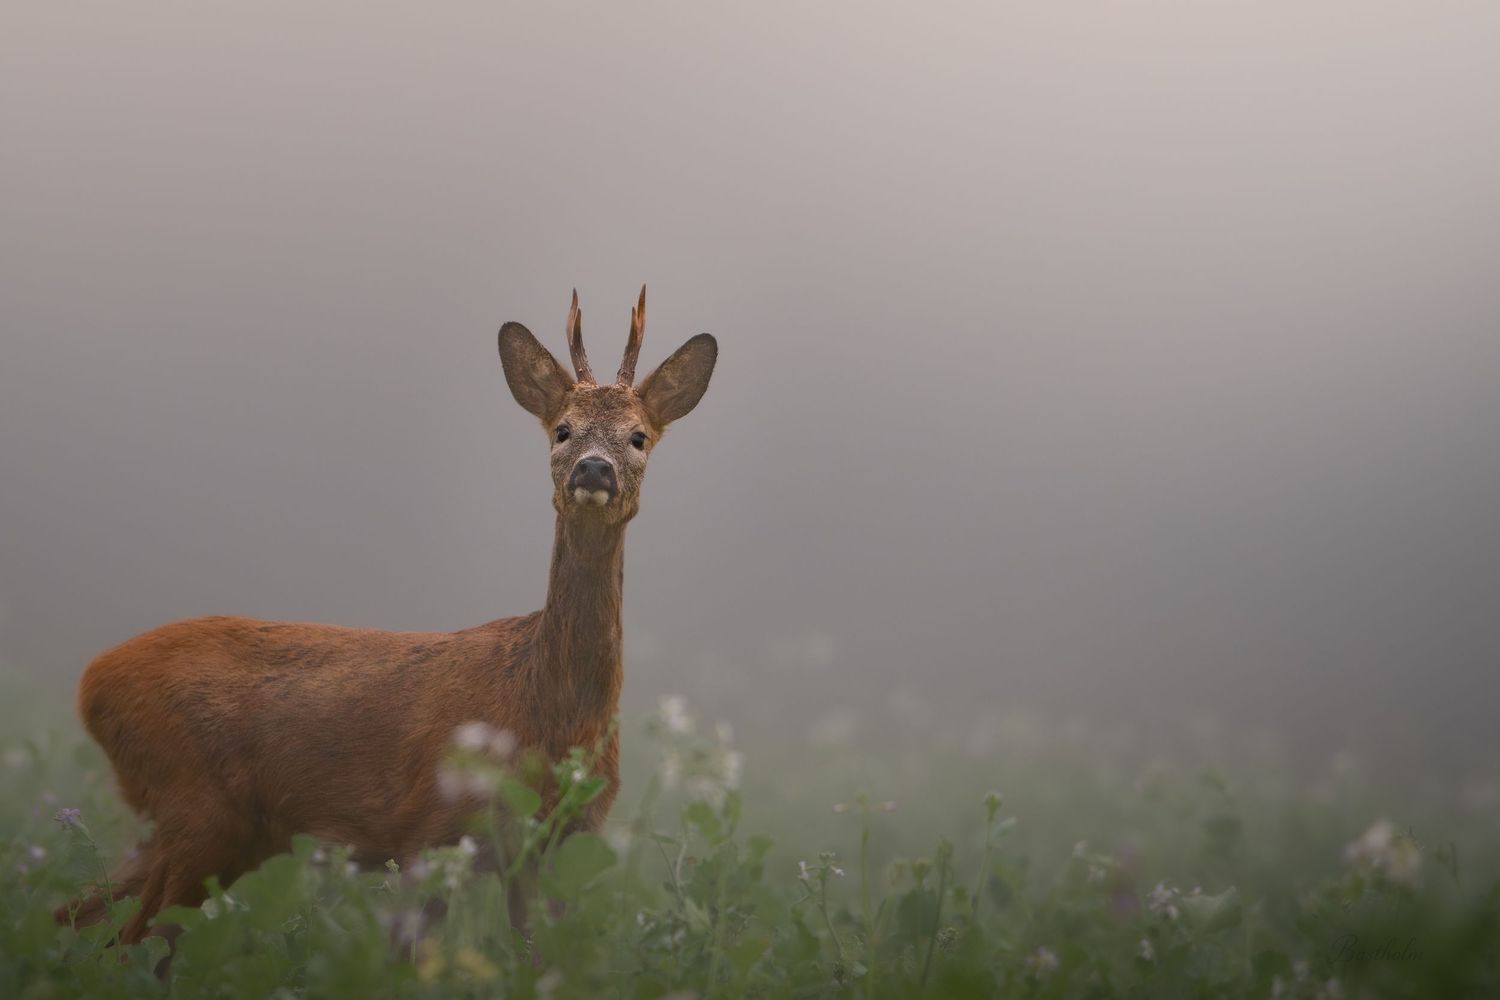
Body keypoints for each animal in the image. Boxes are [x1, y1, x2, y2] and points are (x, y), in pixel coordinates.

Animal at [56, 287, 717, 947]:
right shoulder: (430, 828)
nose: (593, 468)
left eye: (638, 437)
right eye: (562, 430)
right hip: (197, 807)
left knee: (78, 915)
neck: (544, 714)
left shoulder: (553, 846)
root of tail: (91, 682)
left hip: (210, 831)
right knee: (123, 940)